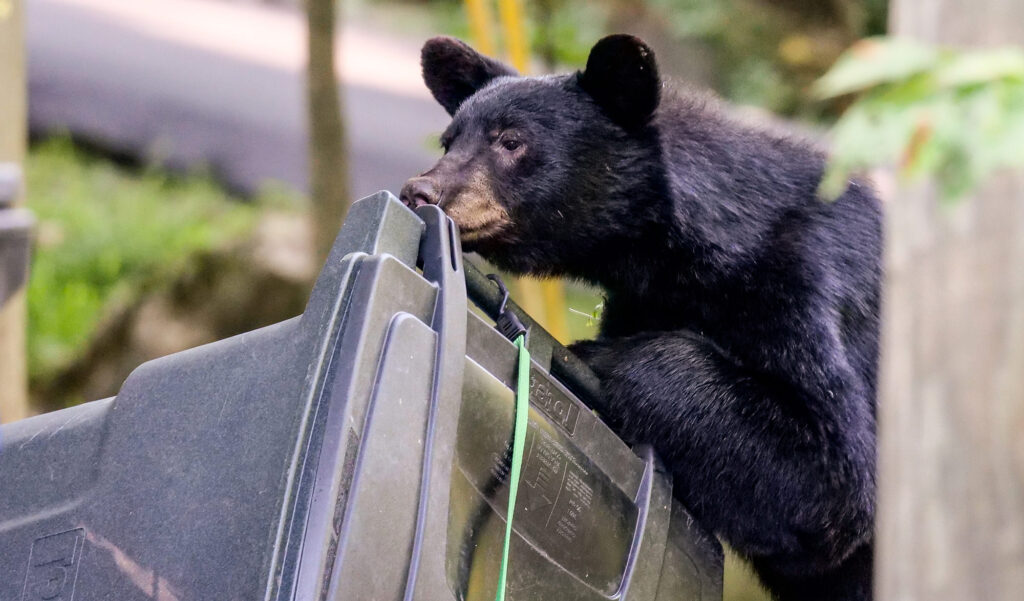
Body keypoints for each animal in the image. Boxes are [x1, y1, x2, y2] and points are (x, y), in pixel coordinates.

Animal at [401, 34, 881, 601]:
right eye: (449, 141)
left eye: (512, 141)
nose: (421, 191)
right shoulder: (643, 298)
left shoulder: (809, 290)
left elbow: (834, 487)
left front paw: (601, 358)